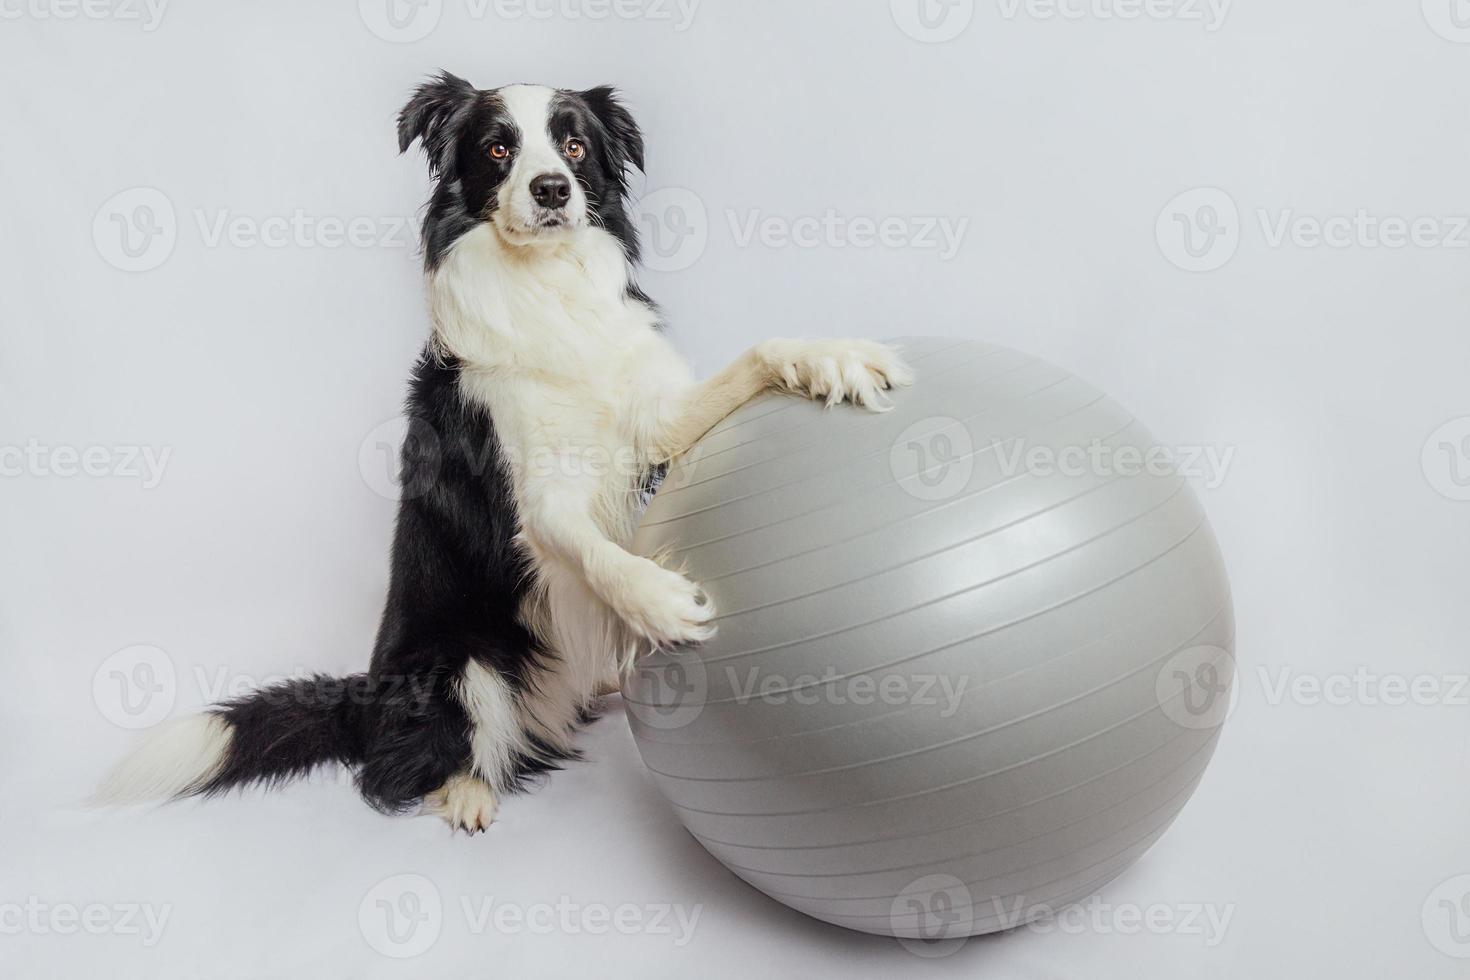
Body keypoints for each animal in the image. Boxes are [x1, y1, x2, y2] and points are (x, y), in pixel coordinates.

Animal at [94, 72, 905, 834]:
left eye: (574, 146)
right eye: (496, 149)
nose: (552, 189)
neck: (545, 285)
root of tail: (366, 698)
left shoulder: (654, 421)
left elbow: (754, 357)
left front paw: (834, 359)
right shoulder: (530, 497)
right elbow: (584, 542)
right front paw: (657, 599)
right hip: (462, 662)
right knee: (401, 770)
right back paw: (466, 793)